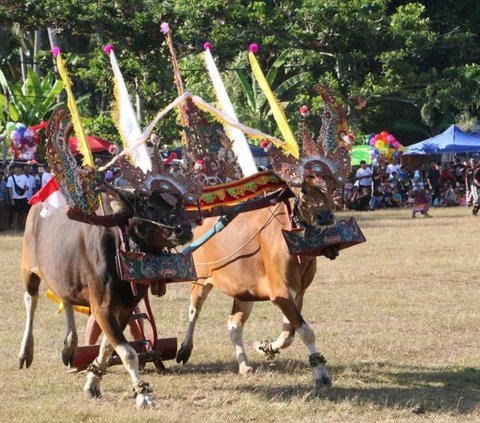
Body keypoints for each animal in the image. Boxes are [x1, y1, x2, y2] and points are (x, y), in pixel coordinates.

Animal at [18, 188, 192, 408]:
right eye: (150, 207)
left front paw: (92, 383)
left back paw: (69, 346)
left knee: (65, 299)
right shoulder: (102, 308)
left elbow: (107, 347)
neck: (120, 249)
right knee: (30, 300)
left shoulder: (125, 309)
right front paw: (143, 395)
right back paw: (25, 351)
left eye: (179, 206)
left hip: (63, 275)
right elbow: (128, 353)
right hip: (28, 269)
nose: (184, 229)